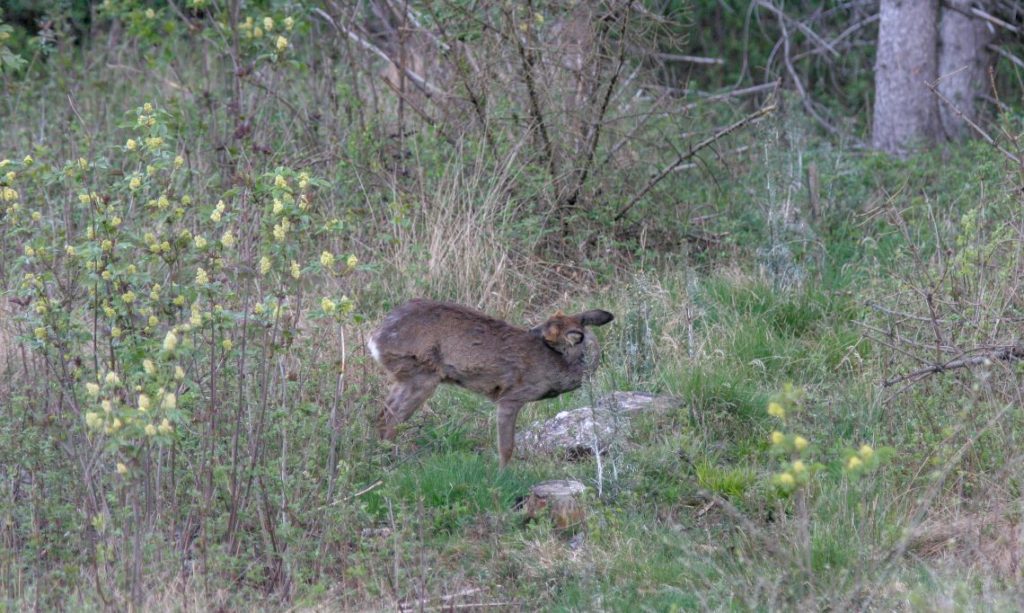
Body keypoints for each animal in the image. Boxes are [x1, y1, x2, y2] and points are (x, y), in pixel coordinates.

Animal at [368, 298, 610, 468]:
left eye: (550, 332)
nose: (530, 331)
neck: (559, 366)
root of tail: (375, 338)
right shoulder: (512, 395)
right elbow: (507, 447)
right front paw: (502, 476)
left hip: (408, 375)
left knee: (382, 414)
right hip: (420, 373)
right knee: (392, 418)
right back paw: (388, 461)